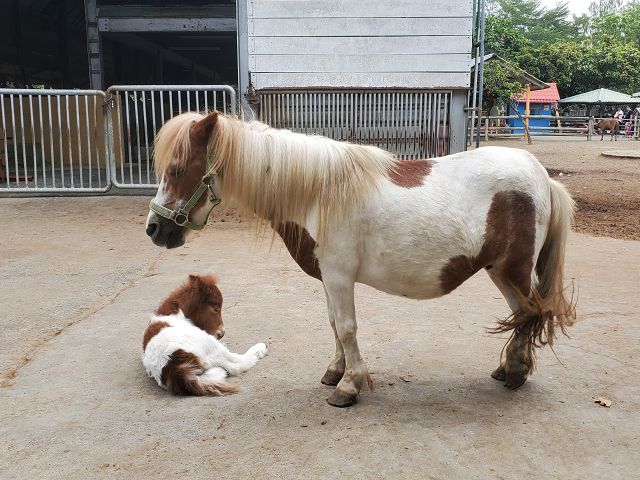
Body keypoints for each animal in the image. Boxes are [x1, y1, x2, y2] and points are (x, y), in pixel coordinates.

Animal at [148, 110, 576, 406]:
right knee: (523, 315)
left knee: (531, 314)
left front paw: (349, 386)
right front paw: (335, 371)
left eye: (178, 169)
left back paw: (516, 373)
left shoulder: (339, 276)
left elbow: (348, 328)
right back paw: (509, 369)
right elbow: (334, 325)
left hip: (513, 270)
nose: (154, 229)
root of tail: (543, 177)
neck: (316, 194)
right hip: (500, 272)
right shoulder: (328, 277)